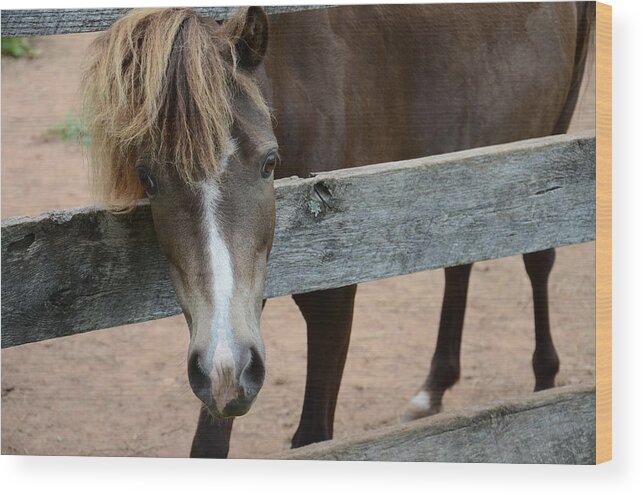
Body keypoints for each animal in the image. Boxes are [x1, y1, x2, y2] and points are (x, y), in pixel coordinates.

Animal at [83, 2, 596, 458]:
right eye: (148, 178)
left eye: (269, 162)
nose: (225, 370)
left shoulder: (332, 293)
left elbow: (314, 439)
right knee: (461, 261)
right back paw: (433, 390)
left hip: (548, 137)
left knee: (537, 257)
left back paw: (545, 384)